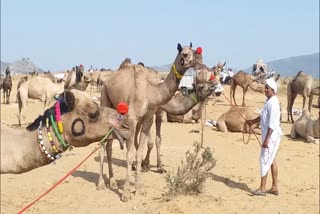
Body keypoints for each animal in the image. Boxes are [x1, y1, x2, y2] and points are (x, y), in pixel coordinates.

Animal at [99, 43, 201, 201]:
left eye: (195, 51)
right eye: (184, 54)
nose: (197, 60)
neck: (150, 92)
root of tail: (107, 81)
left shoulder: (147, 119)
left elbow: (139, 153)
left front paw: (139, 190)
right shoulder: (132, 118)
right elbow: (130, 154)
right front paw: (126, 193)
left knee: (109, 146)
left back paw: (113, 181)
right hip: (104, 97)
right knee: (103, 145)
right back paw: (101, 184)